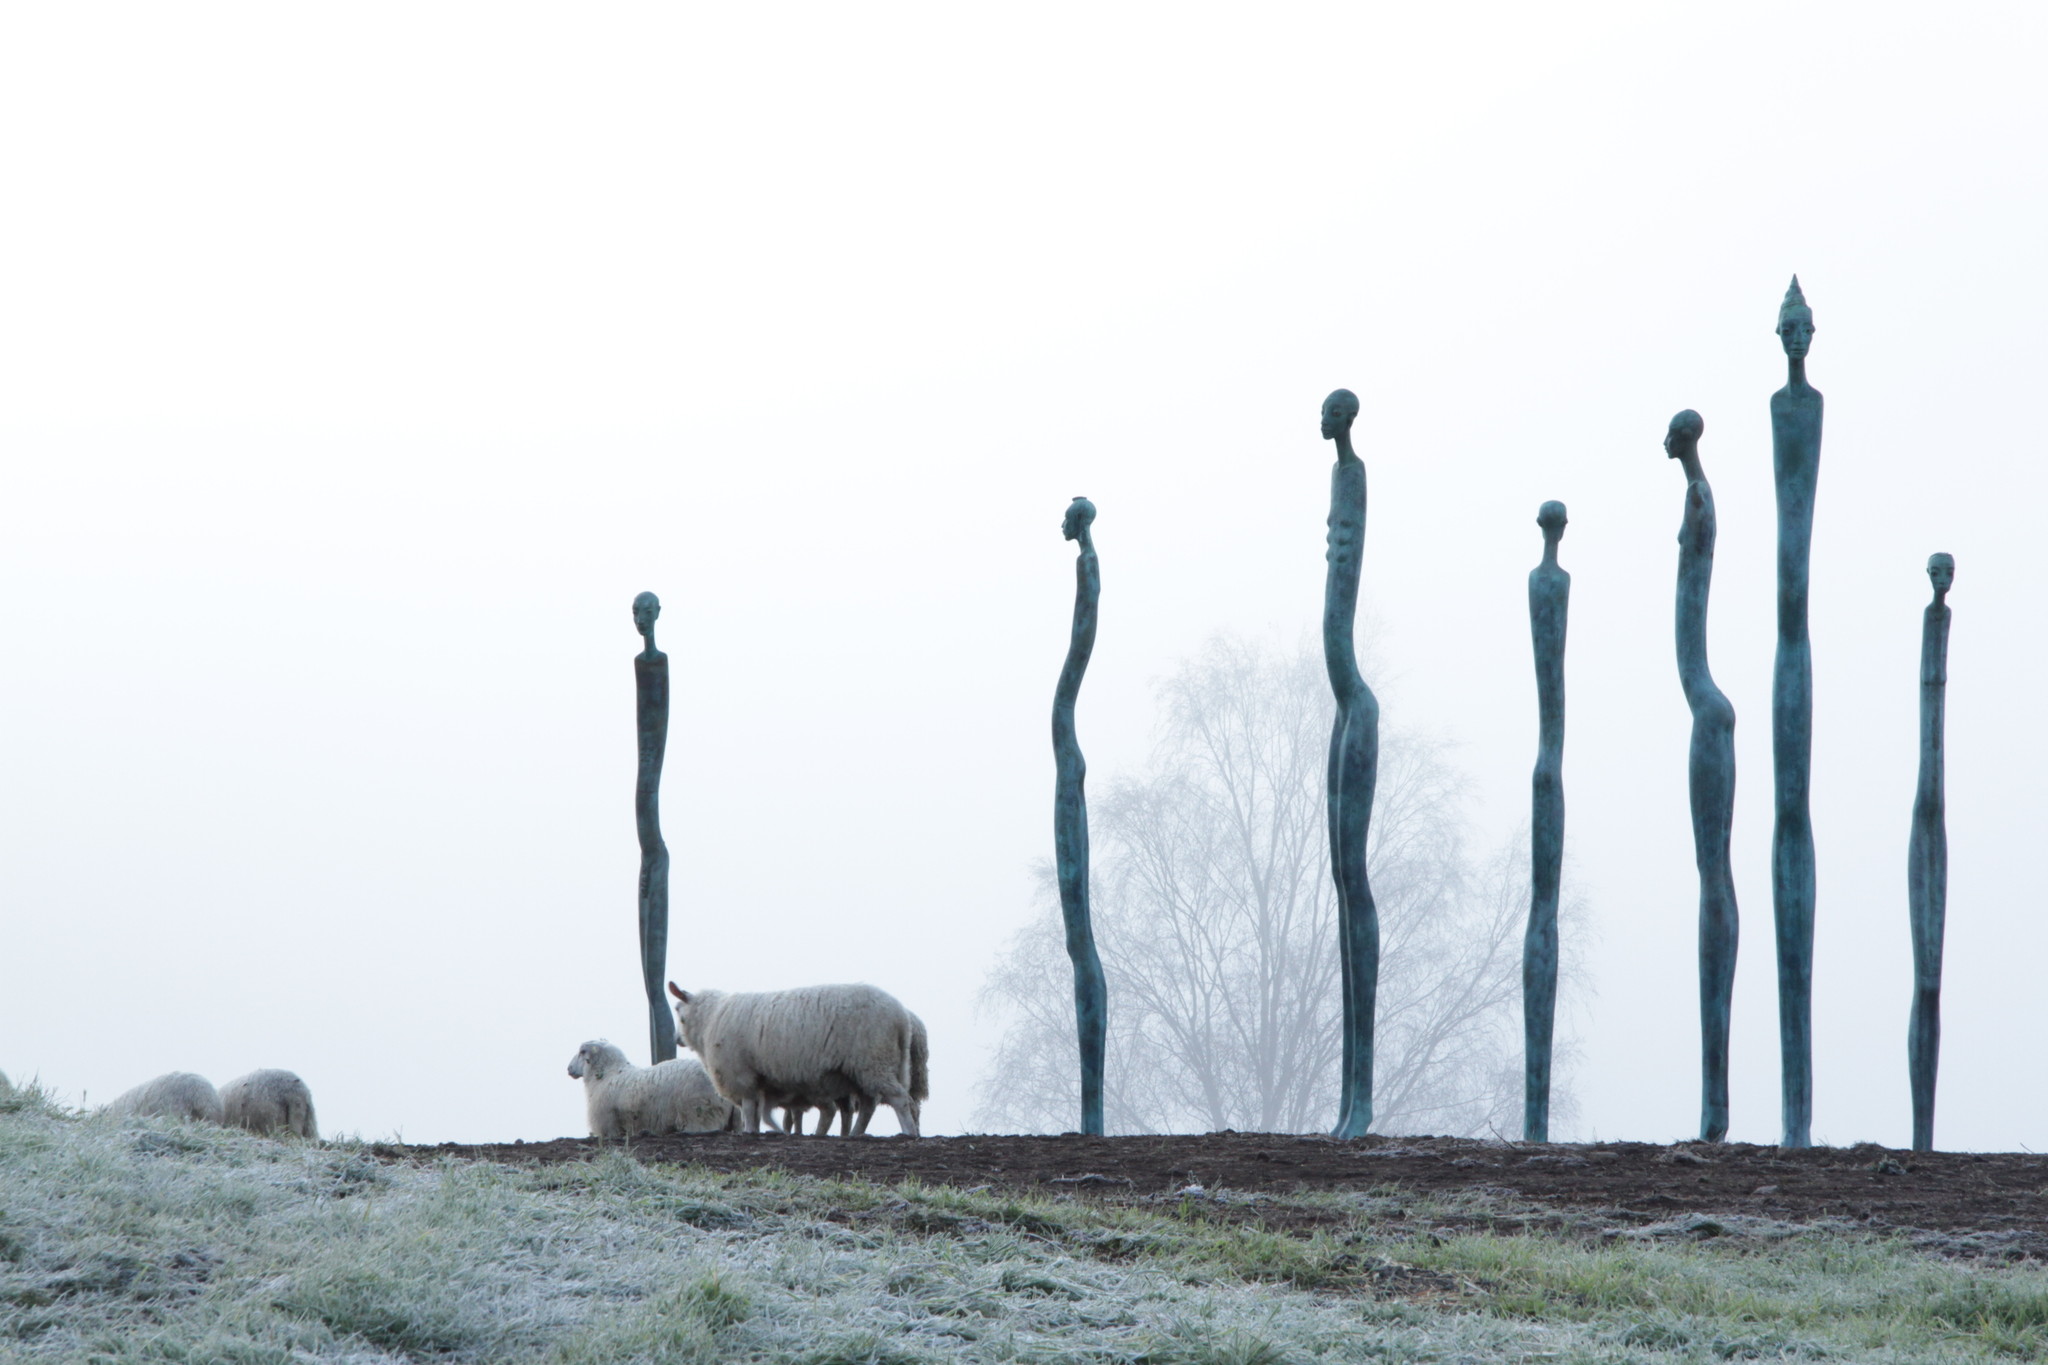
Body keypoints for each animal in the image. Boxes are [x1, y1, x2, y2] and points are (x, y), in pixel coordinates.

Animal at [671, 982, 929, 1146]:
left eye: (678, 1012)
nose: (676, 1040)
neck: (709, 1019)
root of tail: (901, 1017)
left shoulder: (742, 1075)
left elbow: (749, 1110)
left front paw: (750, 1132)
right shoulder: (758, 1080)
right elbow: (758, 1111)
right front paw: (758, 1131)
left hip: (873, 1061)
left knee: (899, 1099)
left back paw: (909, 1134)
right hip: (864, 1070)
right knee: (868, 1106)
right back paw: (855, 1135)